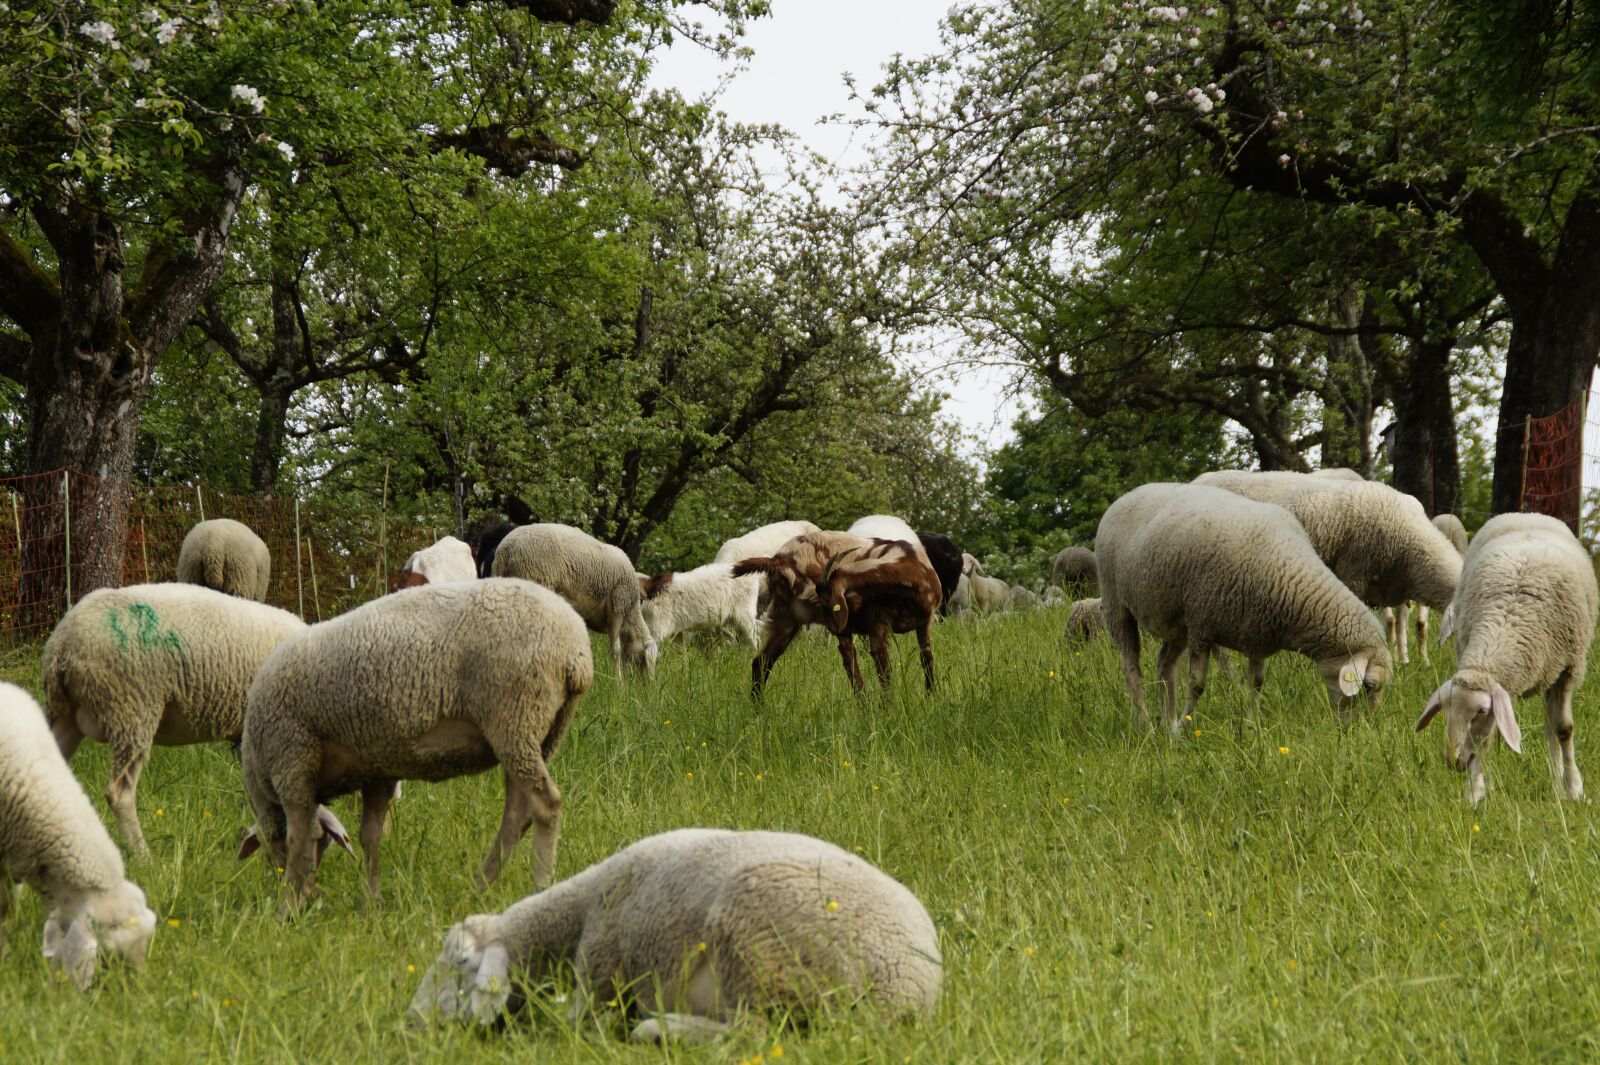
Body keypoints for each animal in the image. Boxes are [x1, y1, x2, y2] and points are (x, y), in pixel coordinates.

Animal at [239, 578, 593, 905]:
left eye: (269, 852)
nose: (310, 899)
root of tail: (577, 652)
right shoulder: (376, 771)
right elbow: (370, 835)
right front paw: (371, 903)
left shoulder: (293, 761)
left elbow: (300, 838)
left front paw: (288, 907)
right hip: (539, 733)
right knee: (517, 814)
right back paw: (479, 887)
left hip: (514, 716)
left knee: (546, 805)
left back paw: (540, 886)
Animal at [408, 828, 942, 1041]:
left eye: (459, 967)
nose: (410, 1024)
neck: (582, 907)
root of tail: (914, 989)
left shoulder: (600, 974)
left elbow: (574, 1023)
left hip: (753, 933)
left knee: (752, 1035)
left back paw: (658, 1030)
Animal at [491, 523, 657, 678]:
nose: (648, 685)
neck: (631, 613)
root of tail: (506, 549)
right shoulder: (618, 606)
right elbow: (616, 651)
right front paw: (619, 682)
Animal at [1098, 483, 1392, 734]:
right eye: (1368, 685)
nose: (1360, 731)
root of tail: (1129, 494)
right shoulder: (1201, 625)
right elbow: (1197, 684)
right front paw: (1185, 727)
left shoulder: (1258, 634)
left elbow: (1256, 684)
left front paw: (1251, 728)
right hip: (1116, 603)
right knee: (1132, 670)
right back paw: (1147, 726)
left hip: (1175, 623)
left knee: (1164, 667)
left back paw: (1166, 725)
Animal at [1415, 513, 1598, 805]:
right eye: (1444, 708)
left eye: (1480, 710)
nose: (1454, 761)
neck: (1508, 620)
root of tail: (1527, 513)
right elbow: (1485, 742)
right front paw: (1474, 792)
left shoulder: (1568, 671)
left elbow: (1564, 729)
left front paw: (1574, 789)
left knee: (1552, 727)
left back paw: (1559, 786)